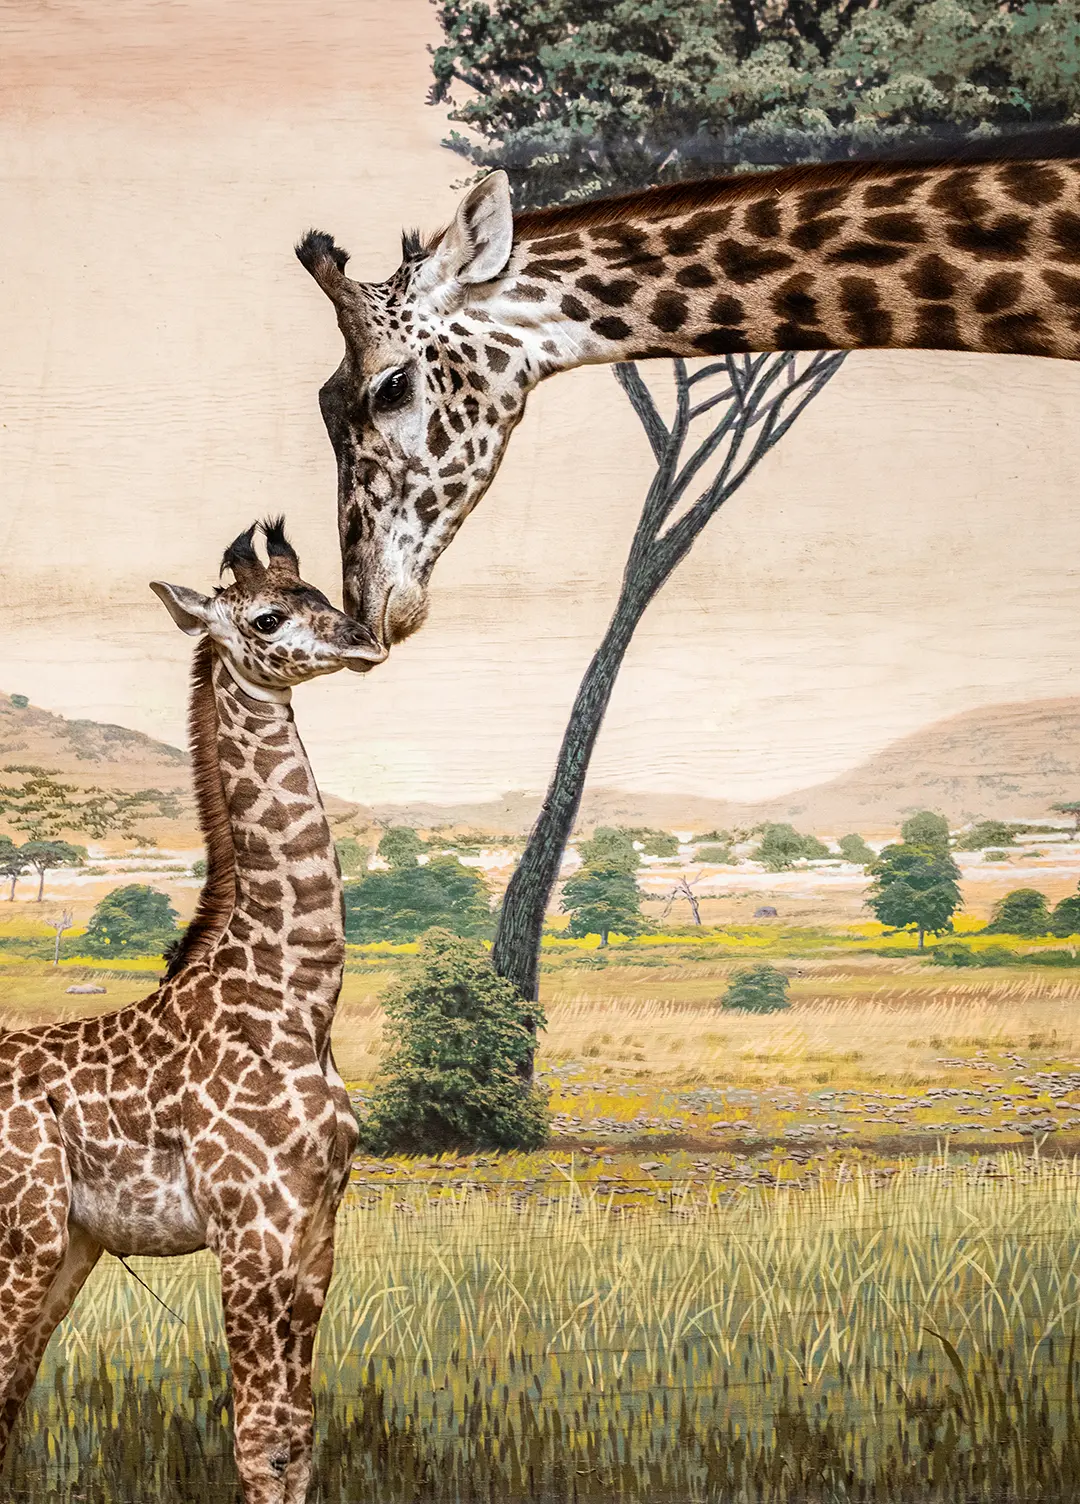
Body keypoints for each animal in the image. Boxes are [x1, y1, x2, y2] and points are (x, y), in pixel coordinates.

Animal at [0, 519, 382, 1504]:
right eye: (268, 615)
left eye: (323, 592)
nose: (364, 640)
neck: (298, 1002)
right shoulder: (247, 1231)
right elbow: (257, 1440)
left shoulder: (317, 1234)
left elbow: (297, 1439)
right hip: (22, 1239)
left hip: (68, 1248)